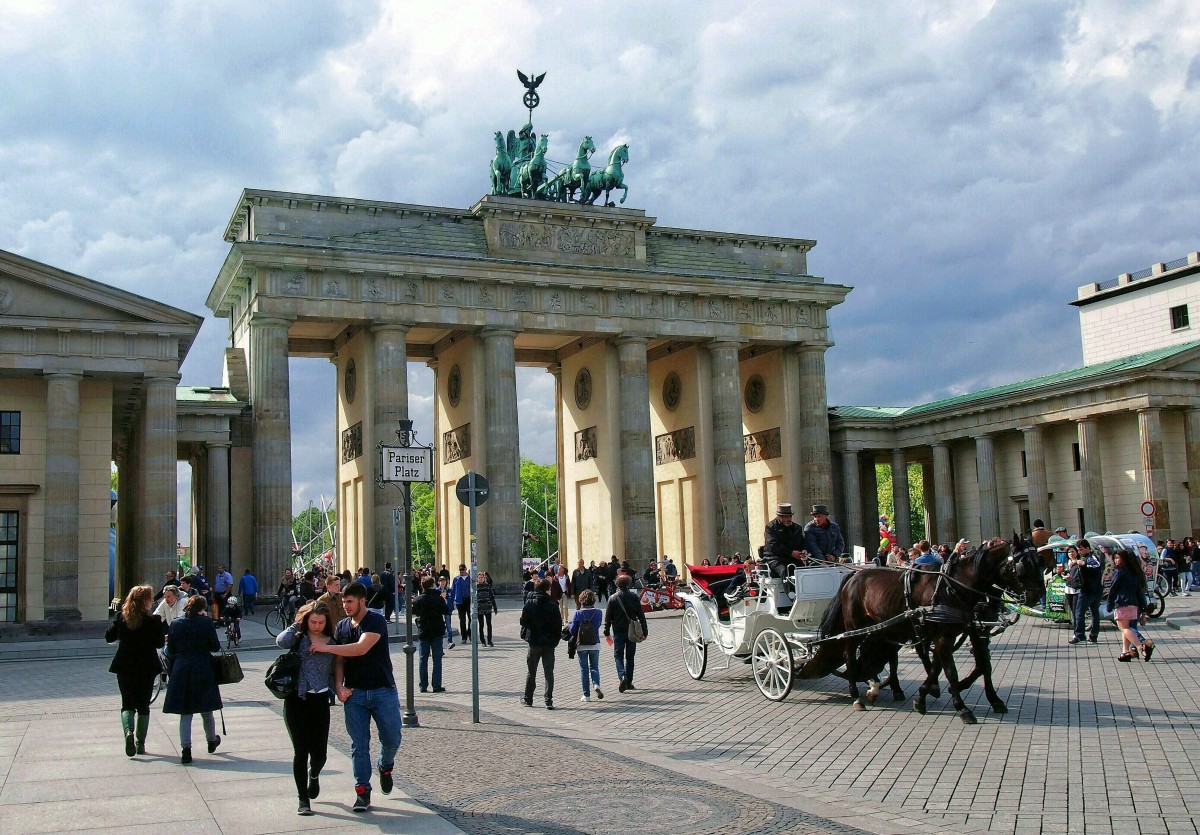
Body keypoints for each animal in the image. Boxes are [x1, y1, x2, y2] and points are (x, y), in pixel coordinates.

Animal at [801, 535, 1046, 724]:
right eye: (1023, 565)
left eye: (1040, 562)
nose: (1037, 596)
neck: (955, 586)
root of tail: (853, 574)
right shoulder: (946, 635)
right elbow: (950, 670)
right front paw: (961, 706)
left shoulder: (969, 631)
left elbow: (977, 665)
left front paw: (927, 695)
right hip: (855, 627)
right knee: (850, 654)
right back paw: (857, 695)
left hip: (882, 628)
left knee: (881, 656)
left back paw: (879, 686)